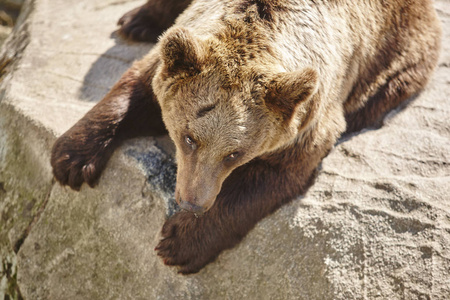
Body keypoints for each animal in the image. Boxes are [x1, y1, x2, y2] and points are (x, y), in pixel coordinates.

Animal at [51, 0, 442, 274]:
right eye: (188, 138)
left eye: (234, 155)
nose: (193, 203)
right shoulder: (180, 56)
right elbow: (136, 88)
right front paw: (70, 160)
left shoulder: (307, 121)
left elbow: (267, 179)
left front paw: (178, 241)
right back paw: (136, 20)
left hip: (396, 51)